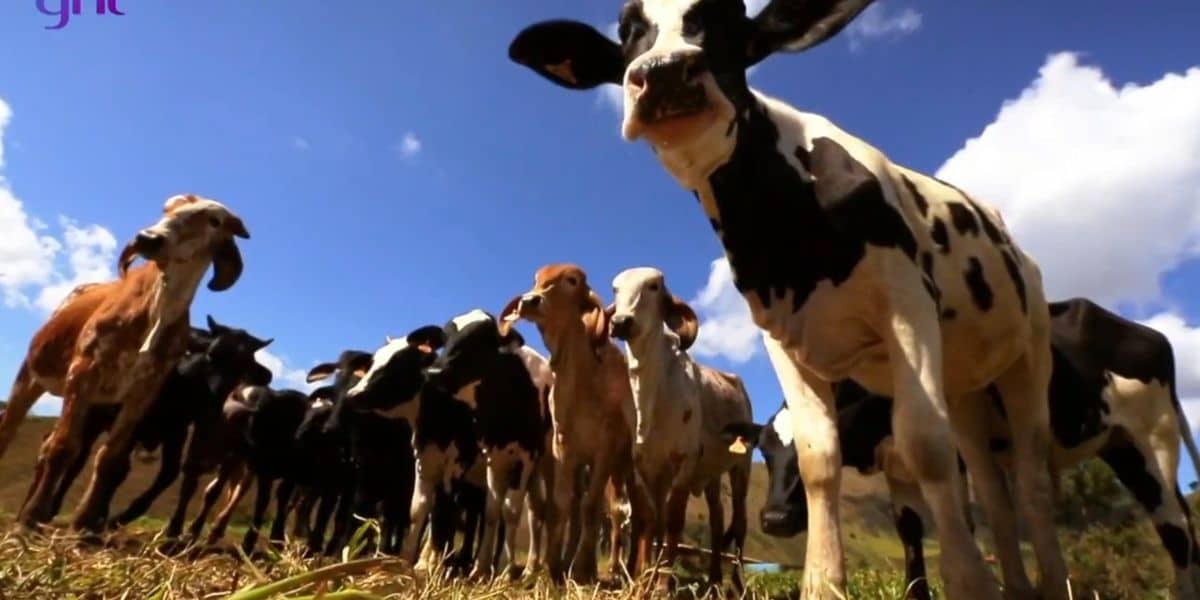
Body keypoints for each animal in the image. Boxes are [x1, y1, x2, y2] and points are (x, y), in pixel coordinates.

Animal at [0, 194, 248, 532]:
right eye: (167, 209)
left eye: (214, 220)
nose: (149, 238)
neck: (158, 309)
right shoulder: (83, 372)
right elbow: (63, 448)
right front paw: (32, 517)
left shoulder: (143, 392)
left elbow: (111, 458)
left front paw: (84, 523)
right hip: (30, 375)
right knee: (10, 432)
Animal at [609, 268, 748, 590]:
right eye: (615, 290)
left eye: (653, 286)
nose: (620, 322)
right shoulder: (643, 467)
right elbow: (650, 521)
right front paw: (643, 579)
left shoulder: (683, 463)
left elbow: (672, 521)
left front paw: (662, 583)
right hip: (710, 475)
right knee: (718, 520)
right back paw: (713, 580)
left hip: (741, 467)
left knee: (740, 523)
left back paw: (735, 584)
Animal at [724, 297, 1200, 597]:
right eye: (765, 451)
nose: (774, 519)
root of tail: (1148, 334)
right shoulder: (897, 468)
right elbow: (911, 536)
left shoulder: (954, 460)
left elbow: (962, 528)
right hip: (1119, 445)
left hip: (1152, 437)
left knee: (1175, 528)